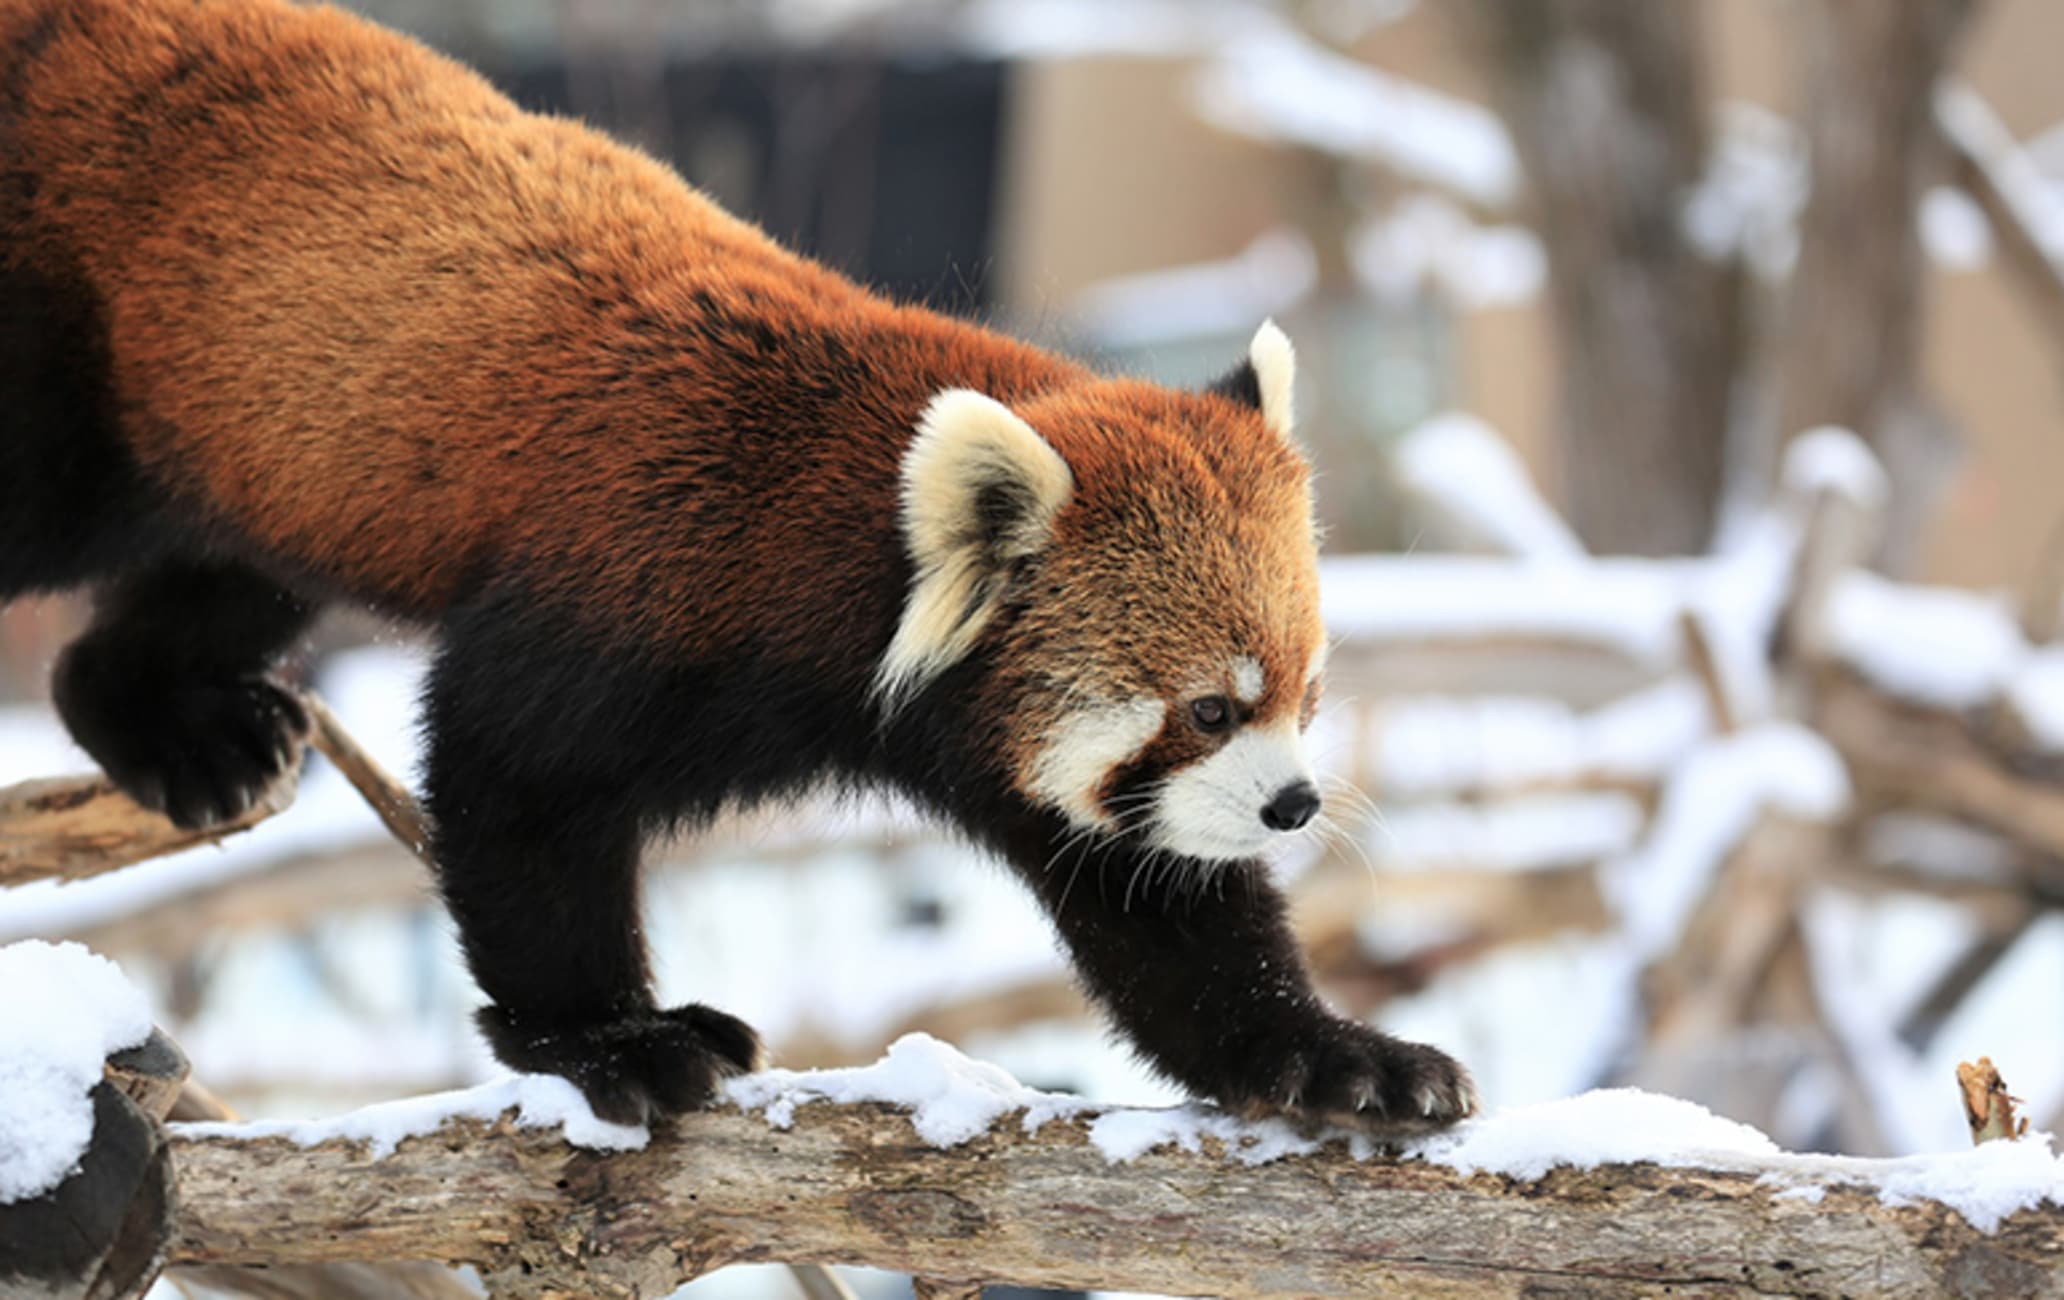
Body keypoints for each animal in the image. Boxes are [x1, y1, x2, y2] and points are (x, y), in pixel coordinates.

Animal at [8, 0, 1477, 1130]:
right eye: (1210, 708)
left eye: (1309, 694)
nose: (1293, 804)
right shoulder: (629, 575)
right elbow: (515, 782)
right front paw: (612, 1038)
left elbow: (1168, 919)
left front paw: (1341, 1057)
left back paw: (170, 727)